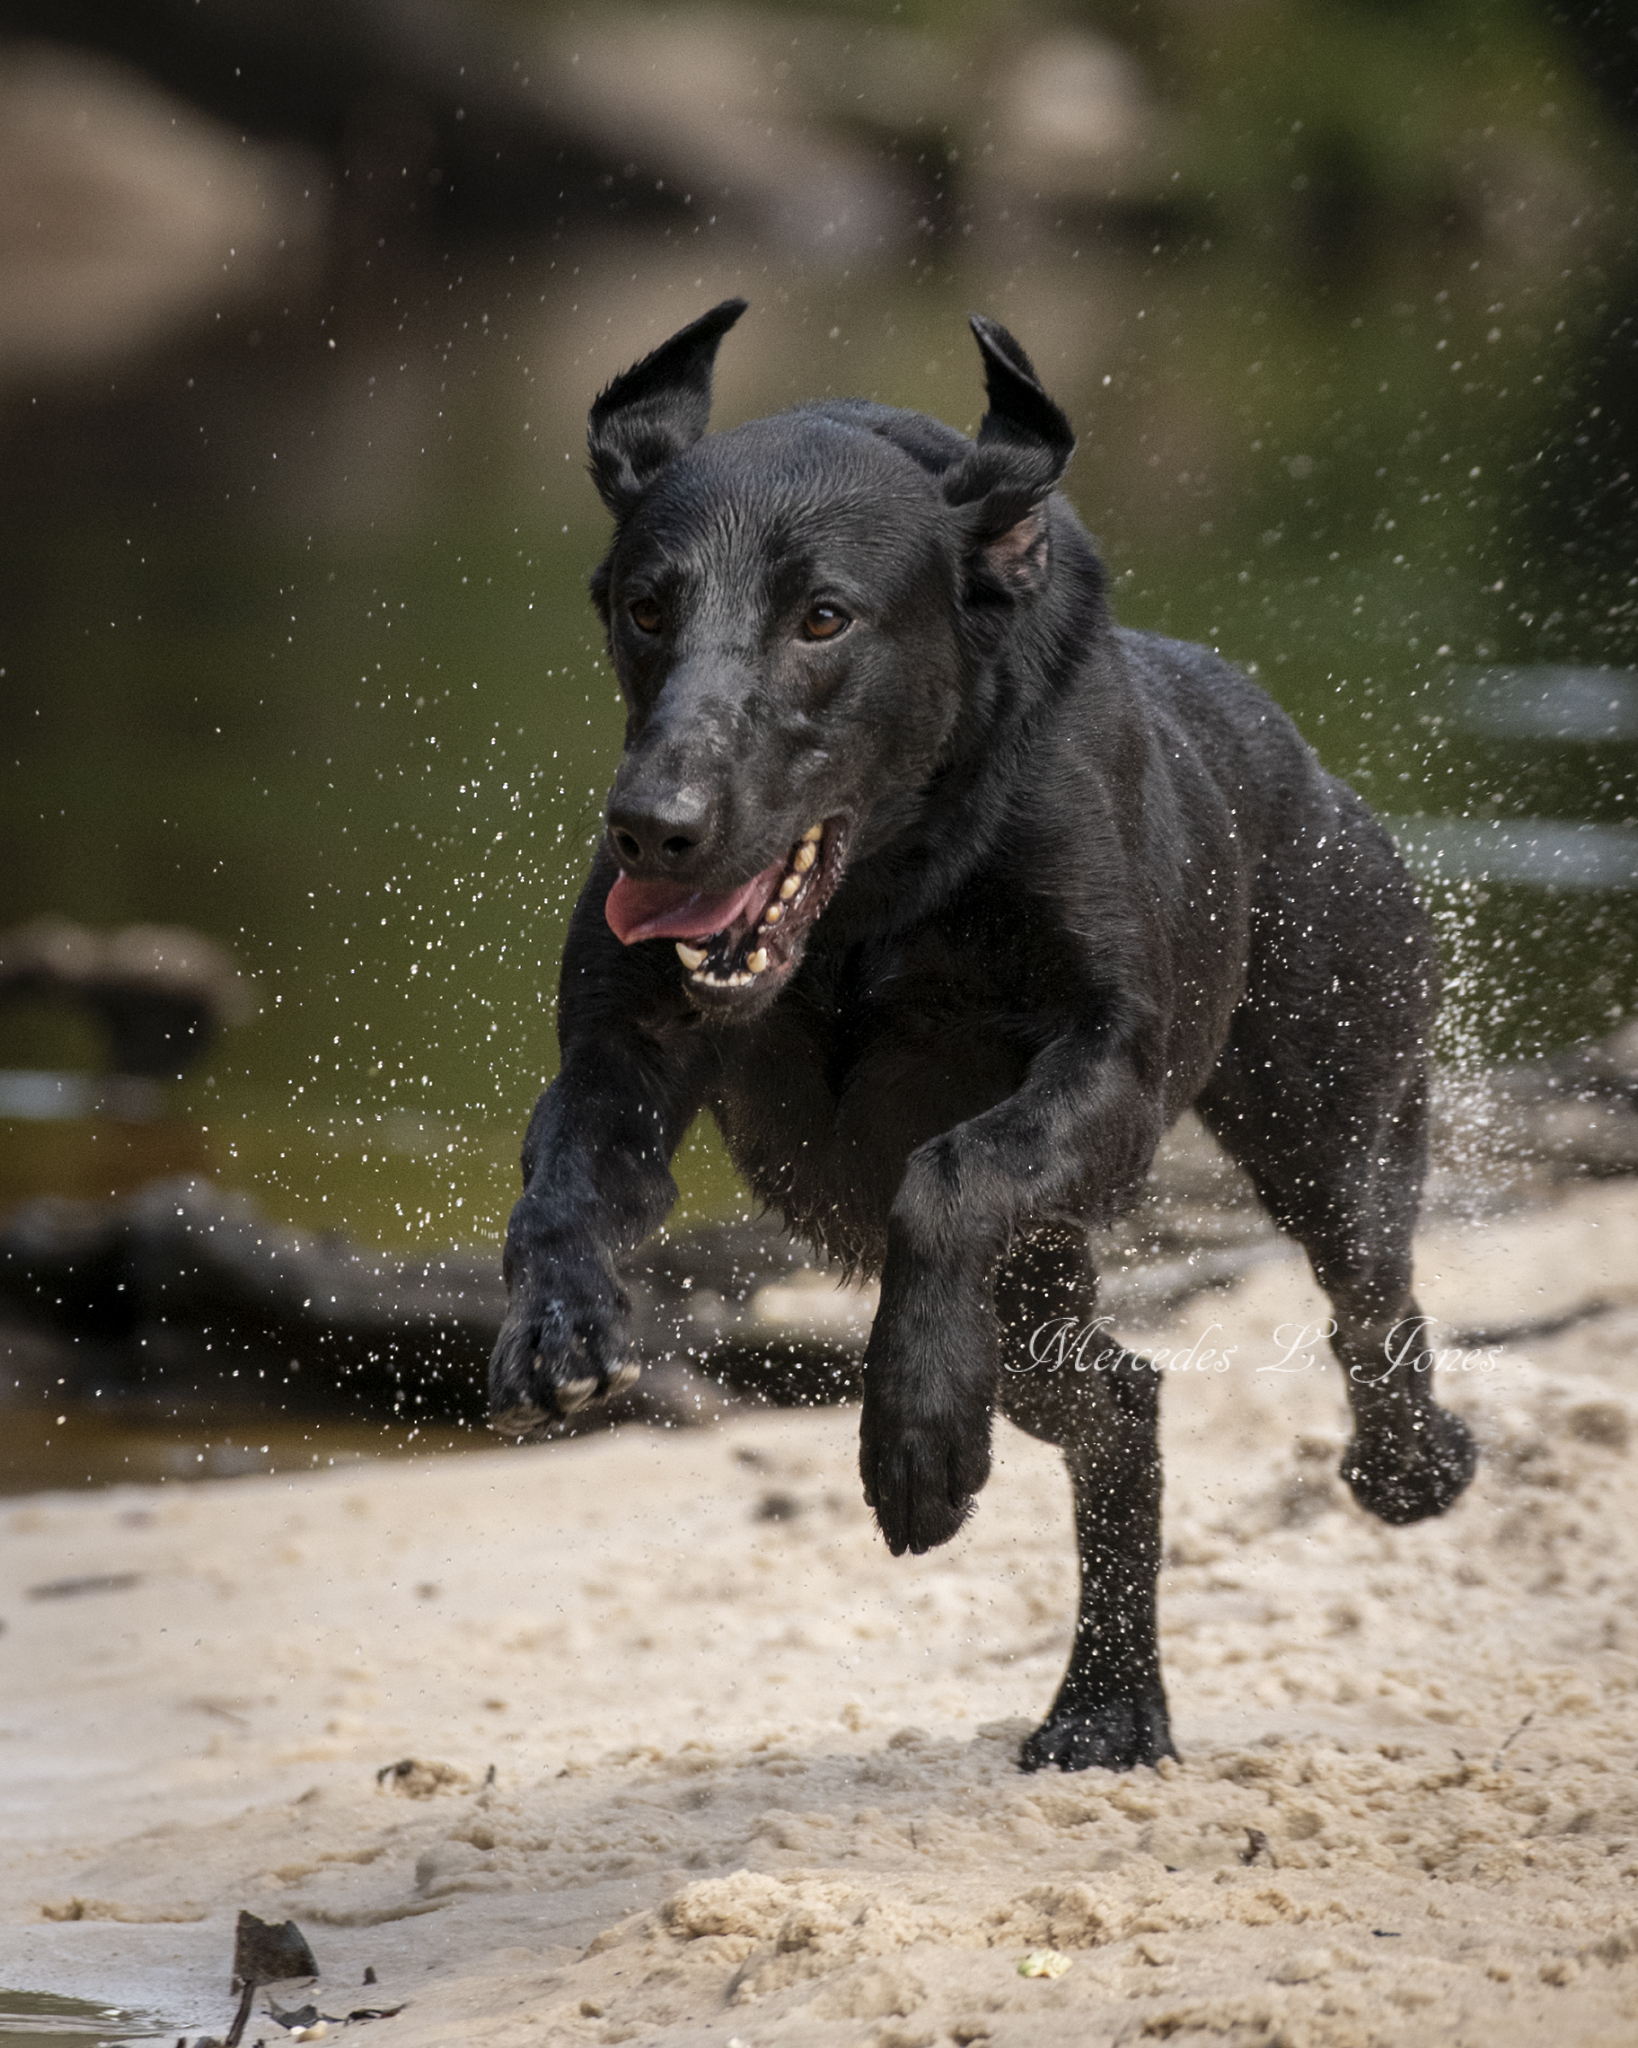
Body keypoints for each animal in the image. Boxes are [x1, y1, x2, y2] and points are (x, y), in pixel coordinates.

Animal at [487, 303, 1474, 1777]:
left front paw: (913, 1439)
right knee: (1123, 1399)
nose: (654, 826)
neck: (878, 898)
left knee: (1367, 1298)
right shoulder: (628, 1042)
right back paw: (1106, 1703)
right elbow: (562, 1175)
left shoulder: (1108, 1065)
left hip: (1327, 1110)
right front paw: (558, 1324)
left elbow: (948, 1172)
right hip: (1045, 1299)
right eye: (644, 606)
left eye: (823, 616)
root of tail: (1299, 758)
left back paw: (1409, 1470)